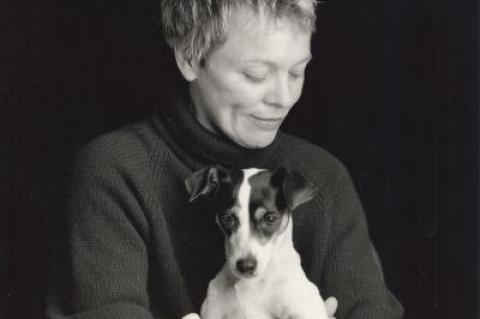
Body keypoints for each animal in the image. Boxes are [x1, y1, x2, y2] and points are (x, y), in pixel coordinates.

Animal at [184, 166, 330, 319]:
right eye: (227, 219)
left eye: (270, 218)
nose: (245, 266)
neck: (251, 283)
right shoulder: (214, 312)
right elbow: (192, 315)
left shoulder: (306, 310)